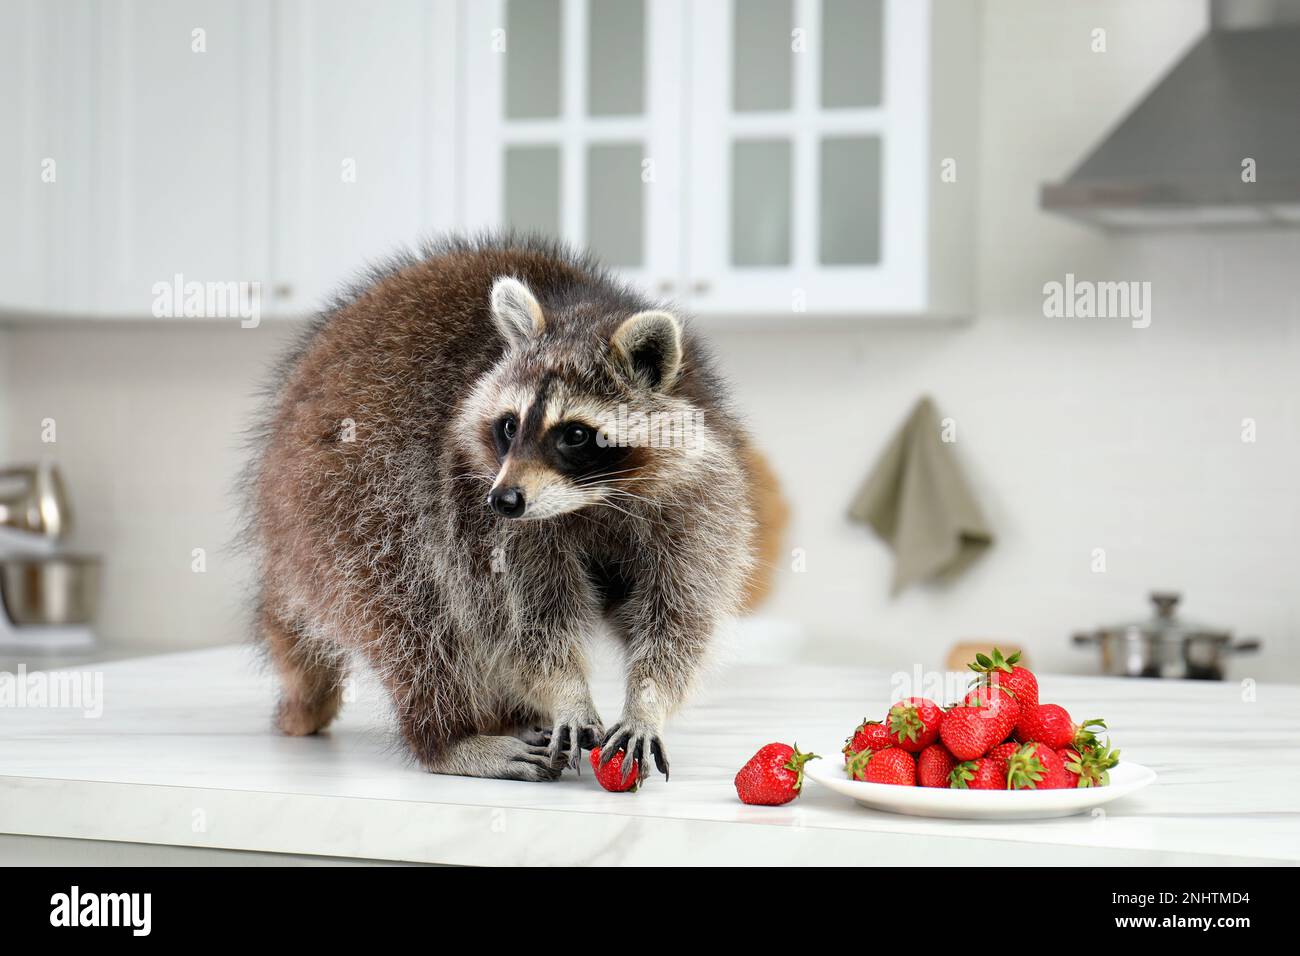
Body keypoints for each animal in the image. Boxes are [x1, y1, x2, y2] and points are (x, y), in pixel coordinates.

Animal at [248, 235, 759, 780]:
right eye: (510, 425)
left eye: (575, 434)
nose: (506, 499)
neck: (594, 498)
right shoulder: (470, 502)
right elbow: (520, 622)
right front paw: (566, 691)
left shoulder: (696, 499)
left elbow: (679, 614)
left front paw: (647, 700)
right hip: (347, 500)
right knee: (415, 617)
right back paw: (449, 737)